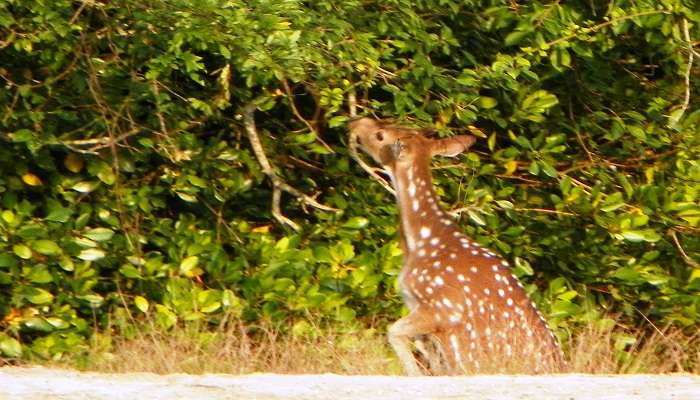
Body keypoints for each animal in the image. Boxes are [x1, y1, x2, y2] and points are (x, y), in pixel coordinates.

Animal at [350, 118, 564, 376]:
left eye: (380, 135)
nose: (356, 122)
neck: (421, 242)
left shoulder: (441, 307)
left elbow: (394, 332)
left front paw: (414, 373)